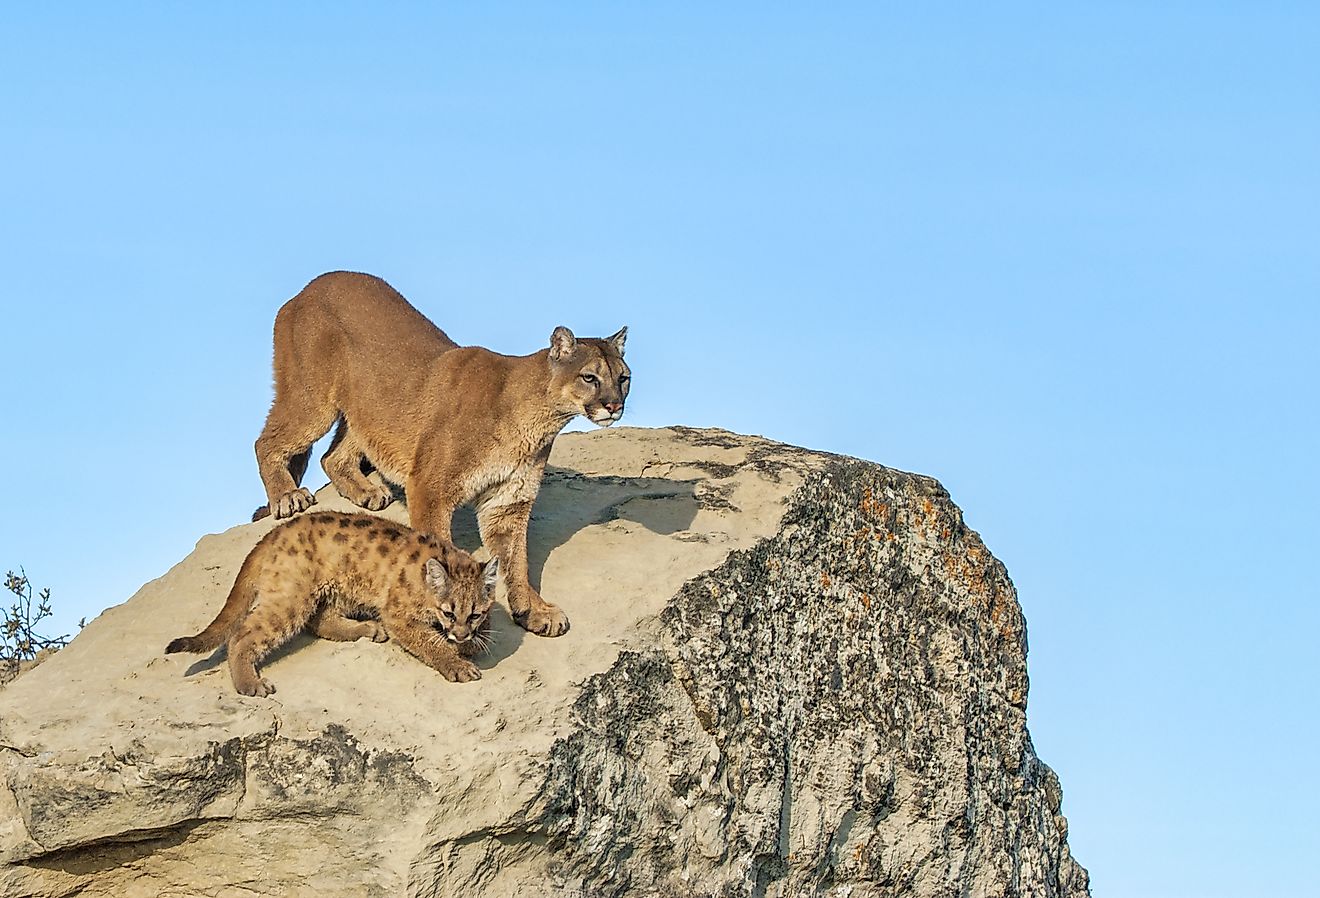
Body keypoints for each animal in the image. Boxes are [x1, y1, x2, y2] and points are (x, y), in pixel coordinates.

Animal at [254, 270, 630, 633]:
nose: (614, 405)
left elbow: (516, 561)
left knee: (332, 456)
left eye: (624, 378)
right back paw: (287, 496)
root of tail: (304, 290)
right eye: (589, 378)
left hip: (369, 409)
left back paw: (365, 491)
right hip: (313, 400)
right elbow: (437, 551)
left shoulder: (507, 502)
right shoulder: (430, 488)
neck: (536, 417)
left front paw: (532, 610)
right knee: (266, 442)